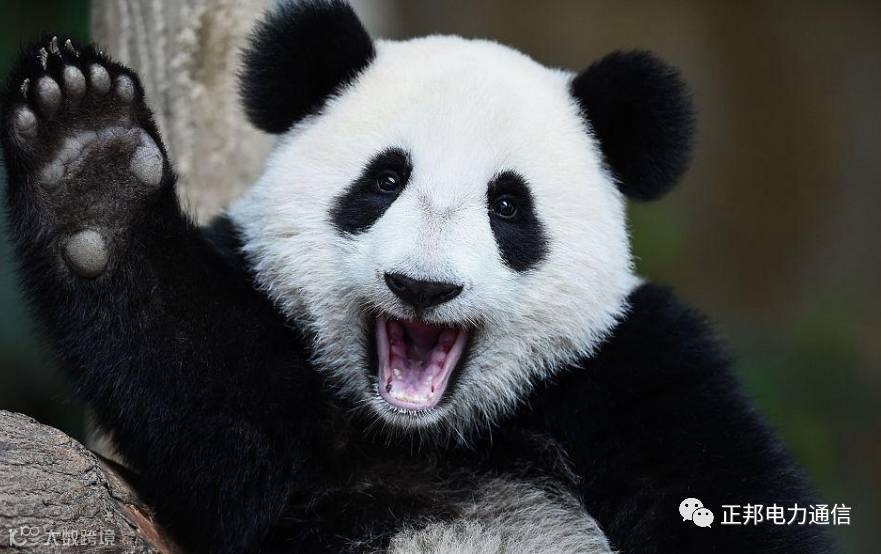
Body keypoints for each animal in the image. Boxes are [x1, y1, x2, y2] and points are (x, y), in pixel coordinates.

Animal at [1, 1, 831, 553]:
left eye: (507, 205)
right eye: (385, 180)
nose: (422, 287)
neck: (431, 438)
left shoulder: (633, 370)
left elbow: (719, 492)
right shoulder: (281, 421)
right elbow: (203, 387)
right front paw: (91, 161)